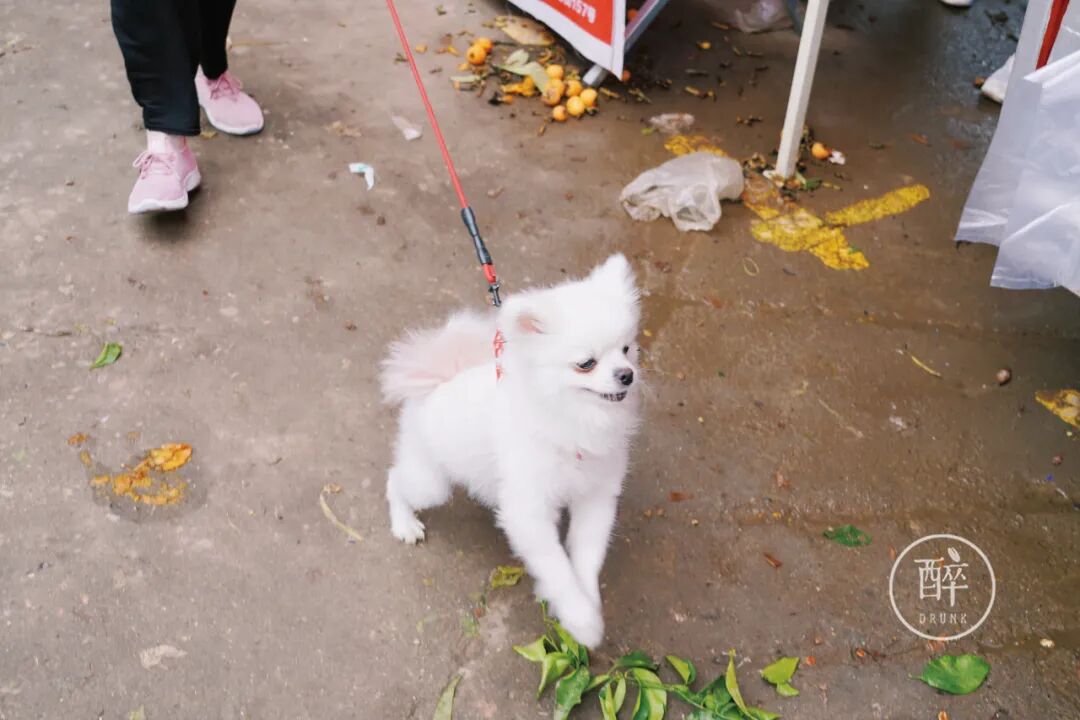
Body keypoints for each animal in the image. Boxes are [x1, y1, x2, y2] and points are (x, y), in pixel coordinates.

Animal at [380, 254, 642, 647]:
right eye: (586, 363)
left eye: (627, 349)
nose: (627, 374)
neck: (574, 417)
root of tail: (440, 381)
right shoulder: (528, 512)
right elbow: (556, 566)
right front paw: (581, 621)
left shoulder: (595, 497)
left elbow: (585, 558)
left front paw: (587, 604)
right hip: (431, 482)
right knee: (395, 479)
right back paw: (405, 523)